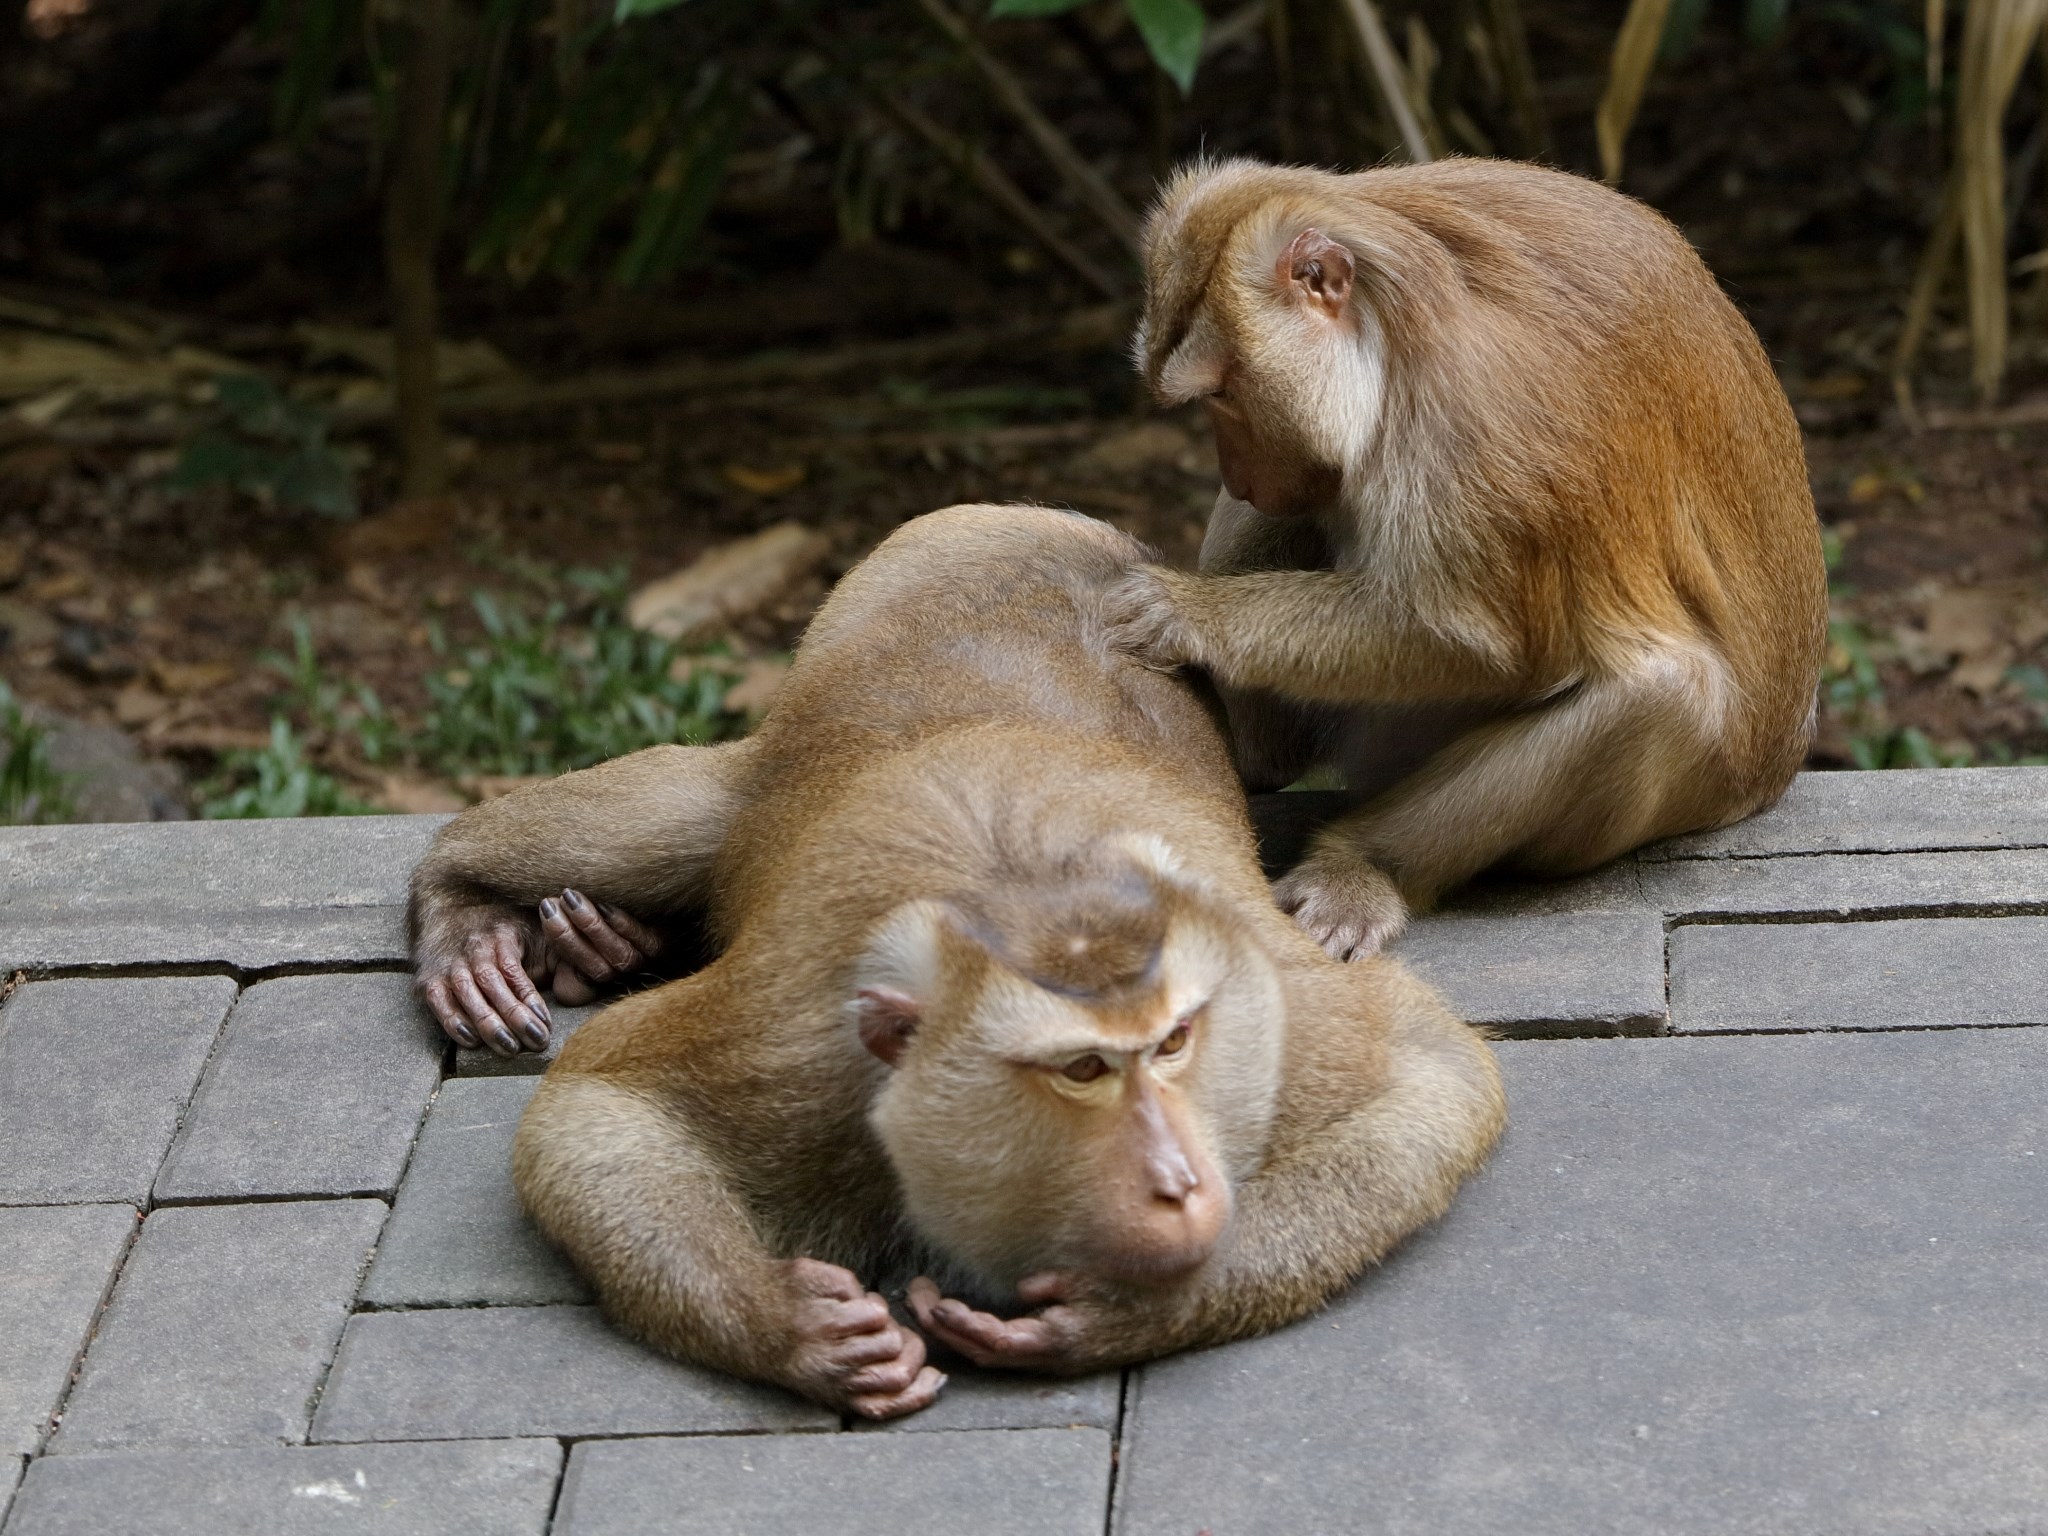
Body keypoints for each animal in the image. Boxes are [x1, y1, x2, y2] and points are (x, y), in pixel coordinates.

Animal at [403, 505, 1507, 1417]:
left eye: (1173, 1046)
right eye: (1080, 1071)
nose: (1175, 1181)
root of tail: (1061, 526)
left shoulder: (1262, 1009)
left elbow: (1430, 1071)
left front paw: (1118, 1312)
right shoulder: (803, 1052)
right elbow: (604, 1102)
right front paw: (792, 1326)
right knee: (694, 812)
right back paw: (466, 905)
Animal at [1114, 150, 1835, 958]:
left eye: (1223, 395)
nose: (1237, 473)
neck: (1395, 327)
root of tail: (1775, 770)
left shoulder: (1482, 422)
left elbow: (1472, 639)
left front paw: (1183, 610)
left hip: (1687, 790)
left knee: (1665, 697)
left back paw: (1362, 866)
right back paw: (1254, 754)